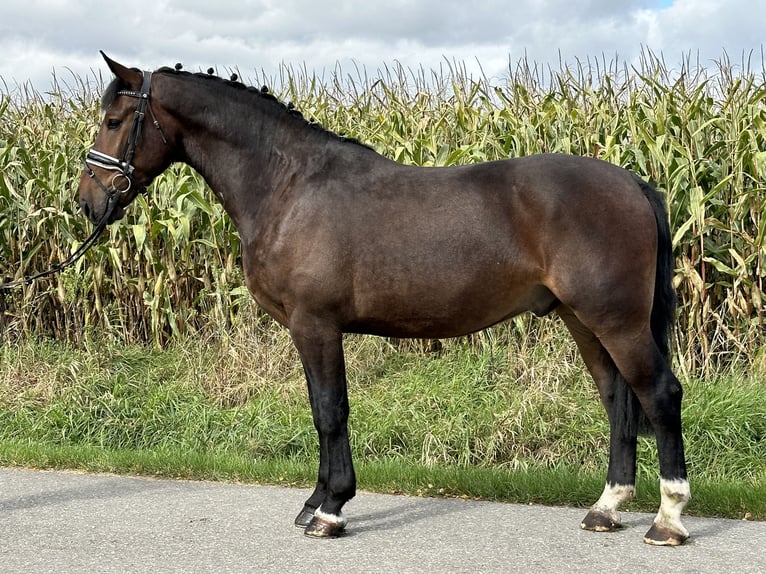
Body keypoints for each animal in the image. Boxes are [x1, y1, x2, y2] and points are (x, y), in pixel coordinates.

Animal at [76, 51, 688, 548]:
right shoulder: (309, 329)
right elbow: (321, 410)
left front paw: (331, 510)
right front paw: (315, 502)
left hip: (616, 320)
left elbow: (330, 410)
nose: (87, 201)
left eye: (114, 121)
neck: (289, 186)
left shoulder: (315, 325)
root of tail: (632, 183)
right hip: (583, 321)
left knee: (659, 393)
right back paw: (607, 508)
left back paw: (668, 519)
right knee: (617, 397)